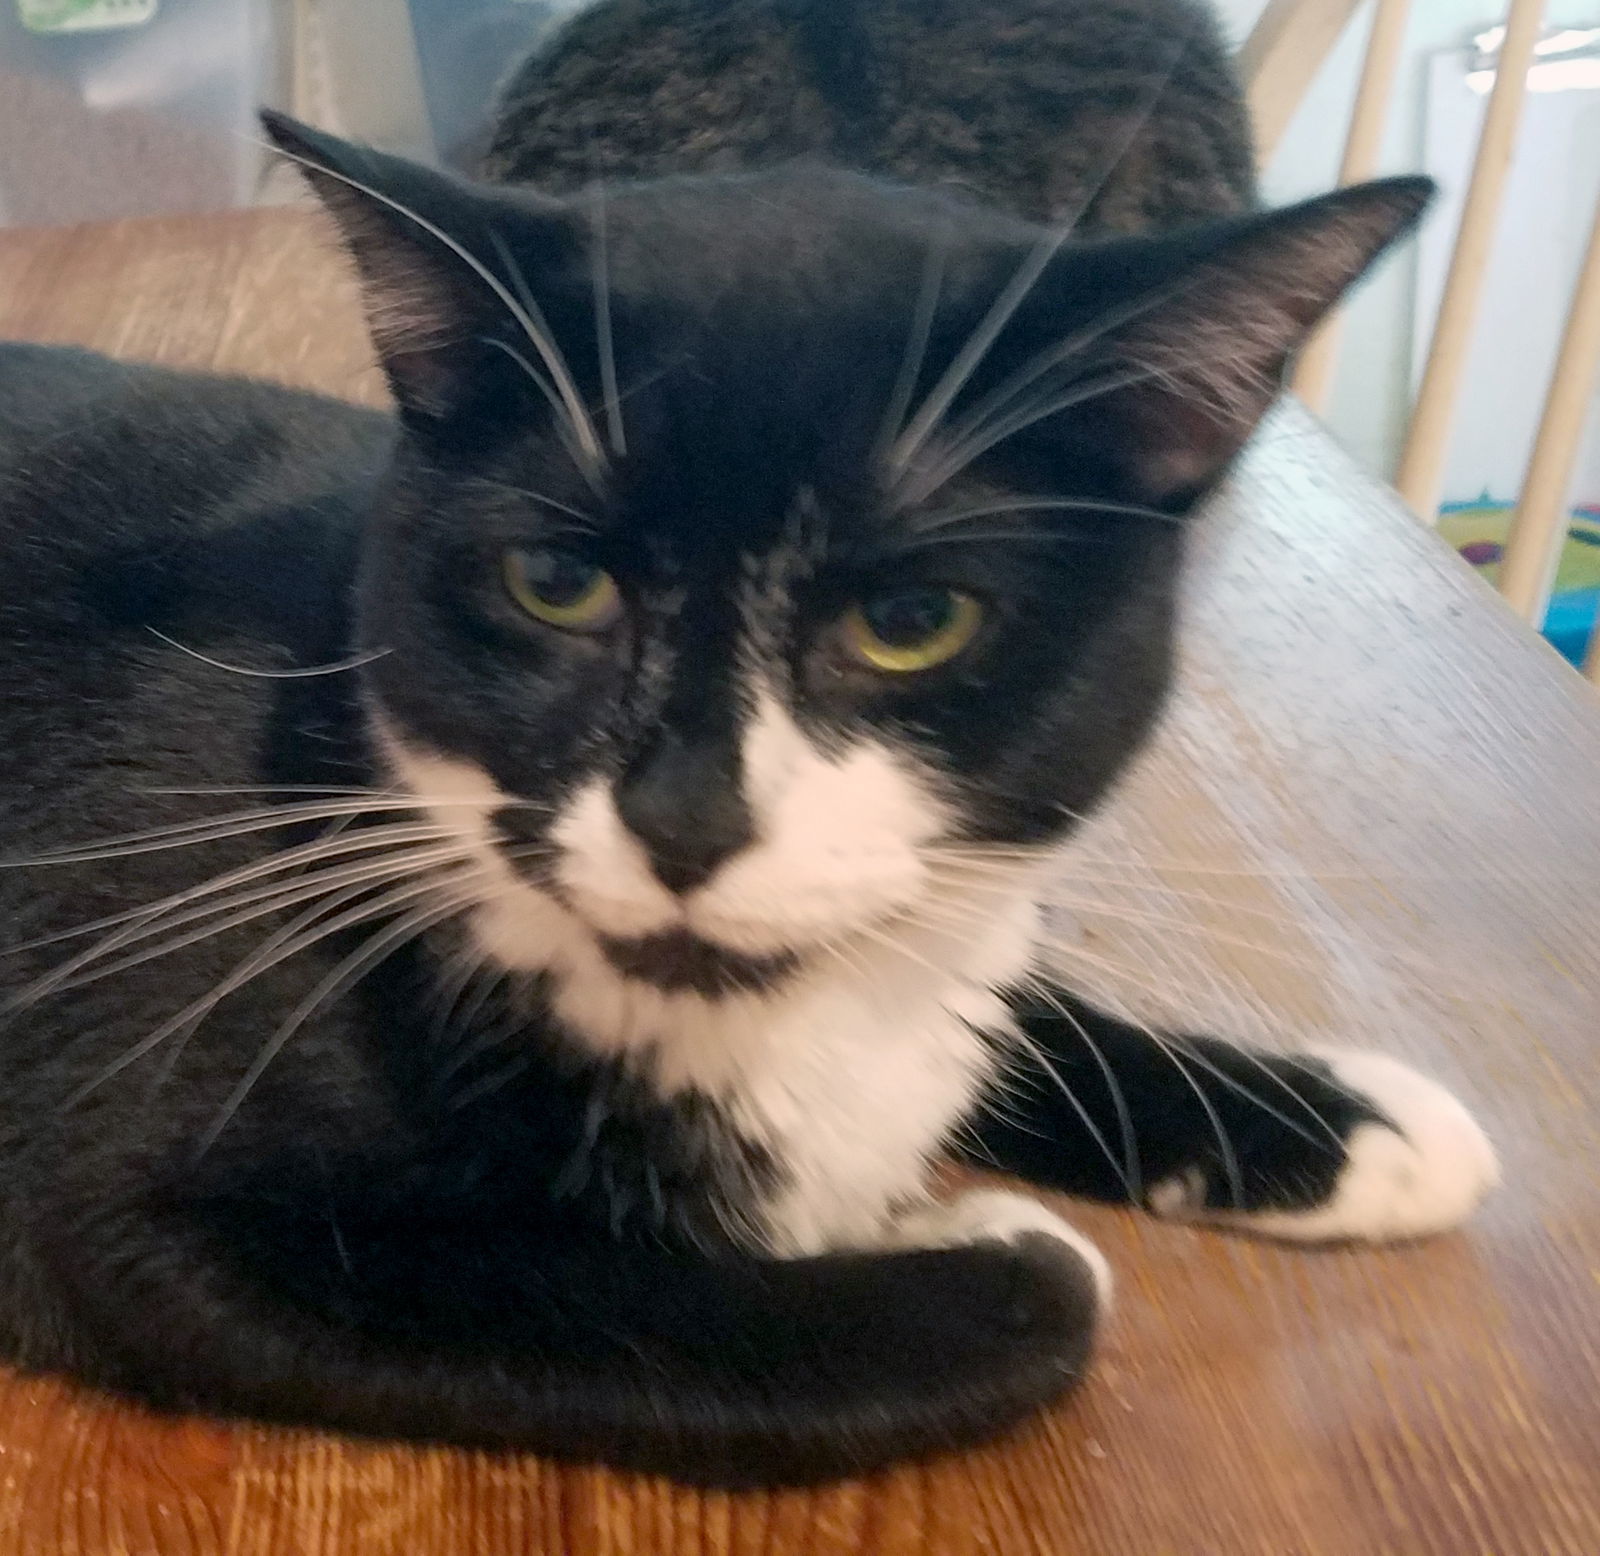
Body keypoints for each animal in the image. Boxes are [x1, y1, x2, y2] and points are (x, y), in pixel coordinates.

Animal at [0, 0, 1491, 1491]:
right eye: (555, 583)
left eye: (913, 621)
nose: (686, 818)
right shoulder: (170, 1213)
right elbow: (712, 1319)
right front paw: (996, 1246)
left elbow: (1005, 995)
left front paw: (1346, 1122)